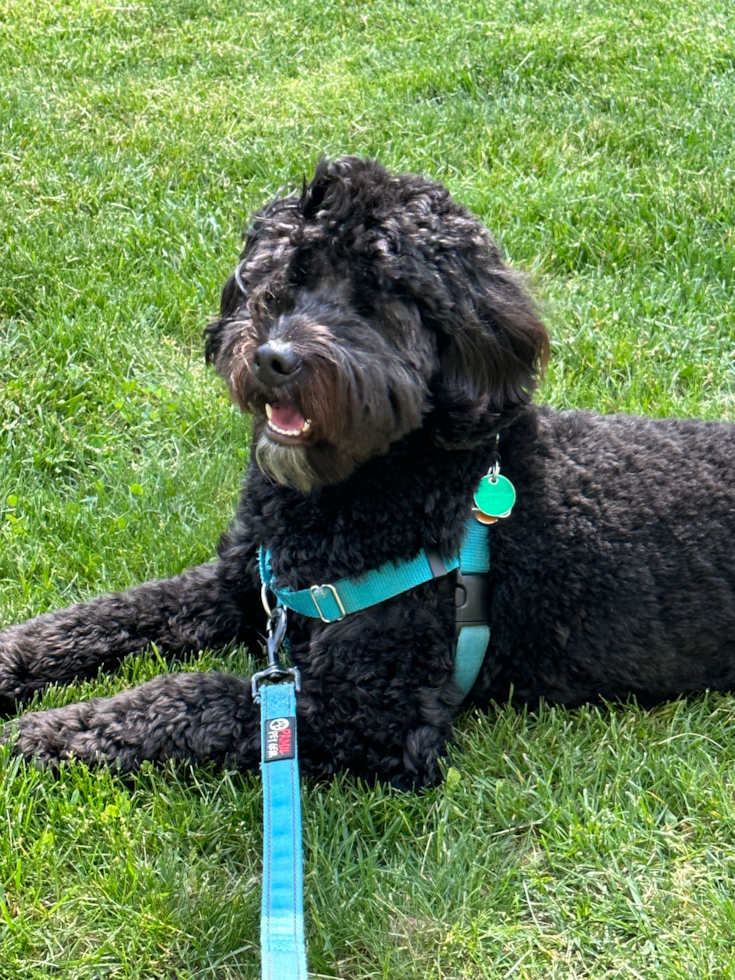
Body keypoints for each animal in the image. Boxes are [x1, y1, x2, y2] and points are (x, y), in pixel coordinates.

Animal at [4, 159, 735, 788]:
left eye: (378, 299)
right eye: (286, 278)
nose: (273, 358)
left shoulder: (371, 711)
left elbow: (198, 696)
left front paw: (49, 731)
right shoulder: (244, 582)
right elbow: (111, 613)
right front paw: (14, 659)